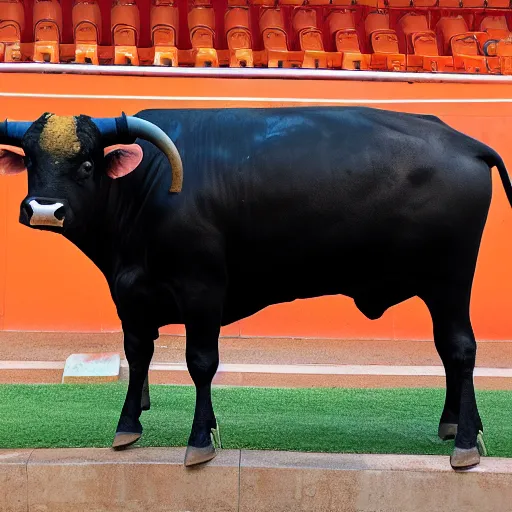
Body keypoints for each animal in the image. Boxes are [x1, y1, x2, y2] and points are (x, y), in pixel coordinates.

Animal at [1, 106, 512, 470]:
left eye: (86, 163)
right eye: (31, 160)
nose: (44, 209)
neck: (144, 190)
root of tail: (464, 142)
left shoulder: (202, 289)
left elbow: (201, 363)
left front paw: (200, 439)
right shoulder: (131, 297)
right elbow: (138, 356)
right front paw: (128, 426)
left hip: (450, 281)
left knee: (460, 349)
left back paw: (465, 443)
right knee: (448, 351)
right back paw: (456, 425)